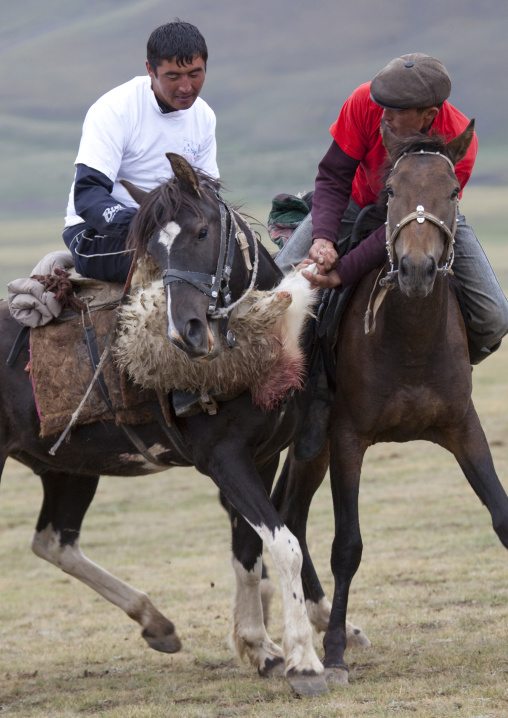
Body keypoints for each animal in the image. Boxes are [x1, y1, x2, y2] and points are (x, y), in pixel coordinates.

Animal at [0, 153, 367, 696]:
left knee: (53, 541)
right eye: (151, 249)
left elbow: (248, 548)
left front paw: (262, 649)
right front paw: (303, 661)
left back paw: (156, 622)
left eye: (201, 232)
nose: (185, 334)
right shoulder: (224, 460)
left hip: (66, 468)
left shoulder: (261, 457)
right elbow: (284, 545)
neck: (257, 340)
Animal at [269, 119, 508, 685]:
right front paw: (333, 651)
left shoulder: (465, 429)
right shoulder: (348, 439)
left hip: (314, 450)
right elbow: (348, 546)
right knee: (288, 517)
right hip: (313, 442)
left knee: (293, 514)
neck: (411, 340)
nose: (418, 269)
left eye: (454, 191)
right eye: (393, 190)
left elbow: (502, 516)